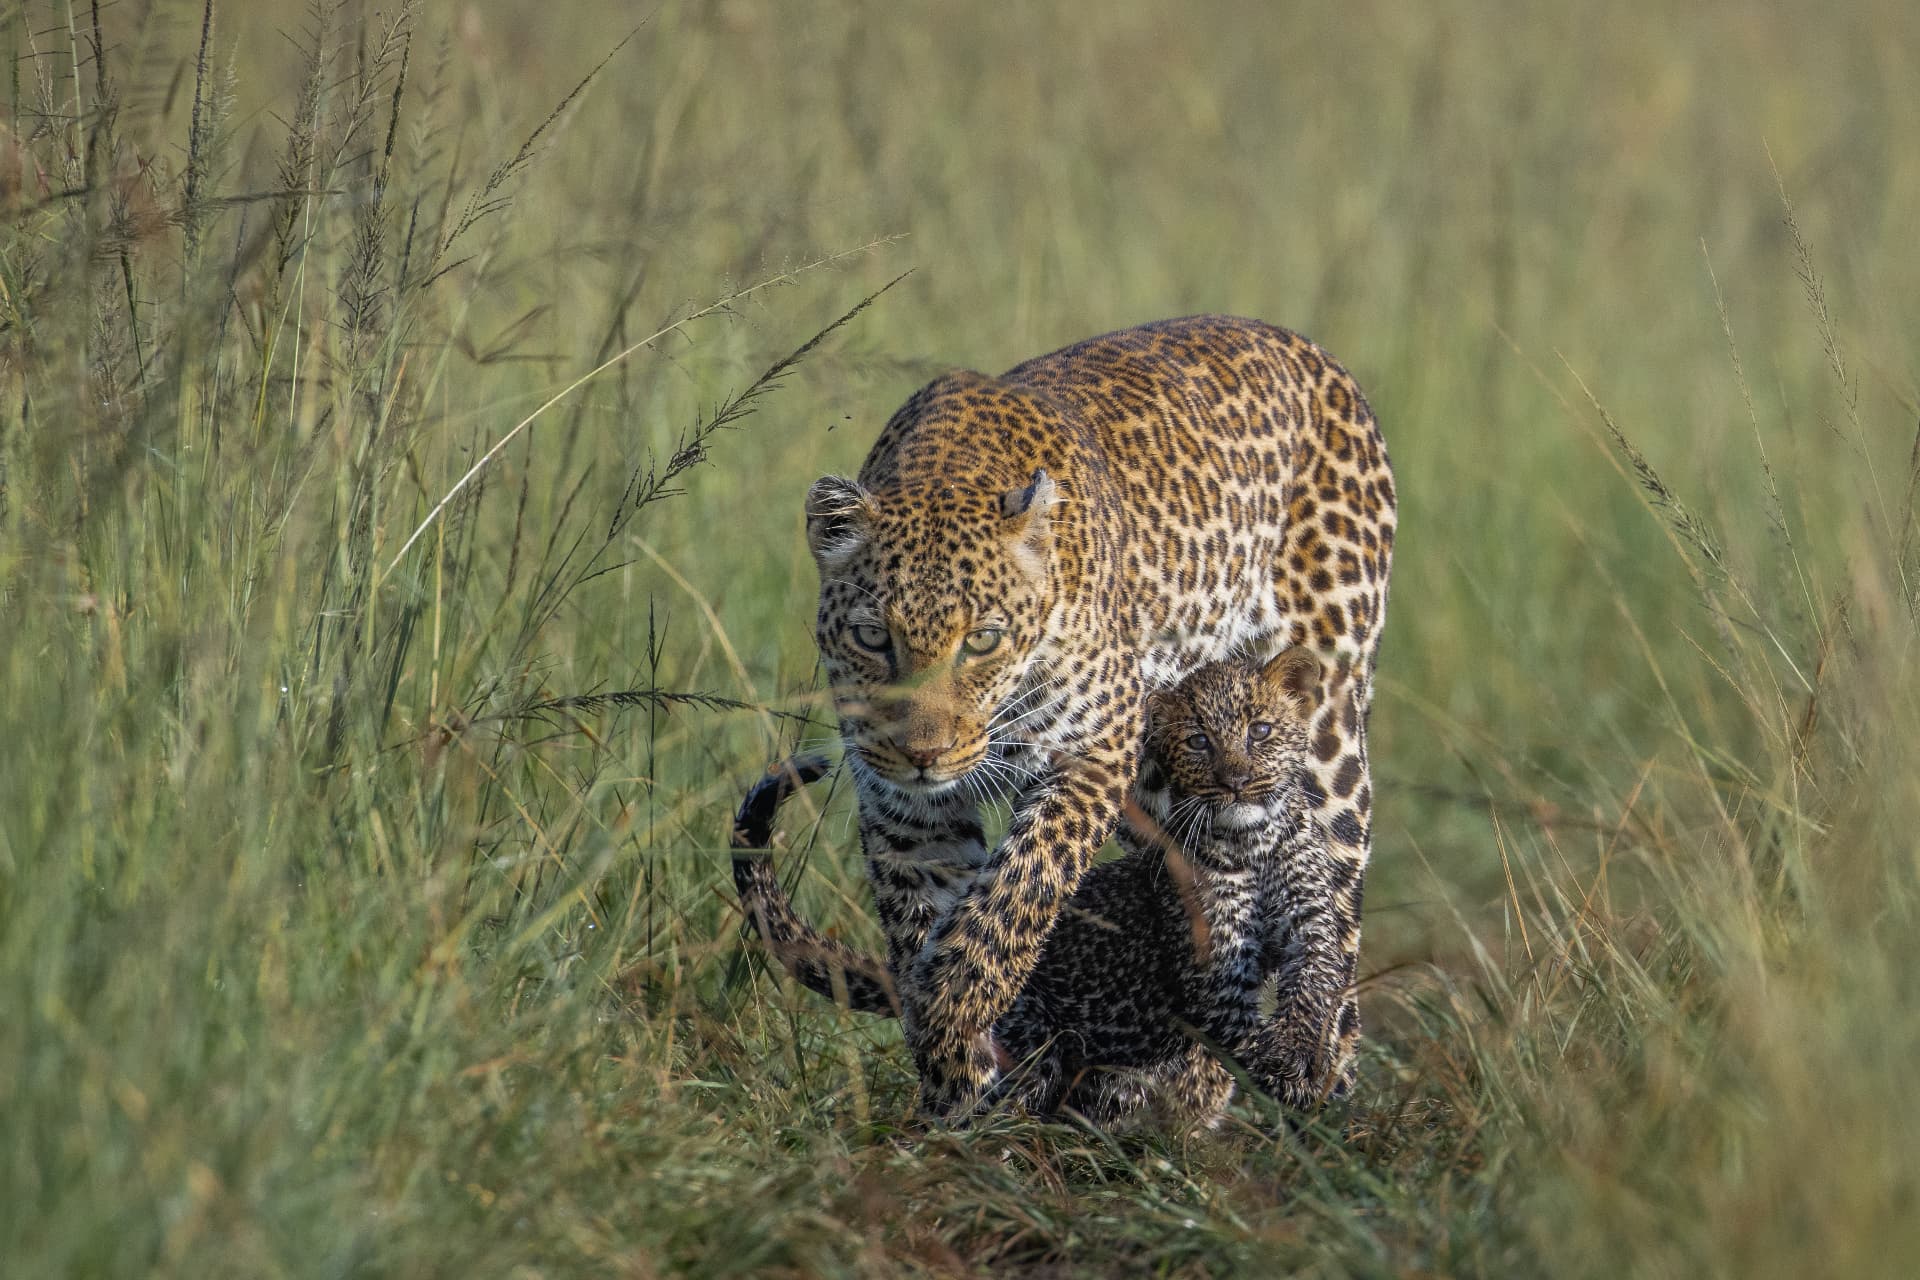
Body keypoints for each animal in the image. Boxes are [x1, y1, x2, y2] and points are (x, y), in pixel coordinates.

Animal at [733, 647, 1363, 1123]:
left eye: (1261, 730)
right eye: (1198, 742)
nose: (1236, 781)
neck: (1250, 842)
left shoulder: (1309, 916)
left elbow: (1316, 977)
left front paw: (1298, 1057)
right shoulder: (1211, 963)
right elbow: (1233, 1022)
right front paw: (1279, 1072)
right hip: (1032, 1049)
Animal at [799, 314, 1393, 1115]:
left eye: (982, 639)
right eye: (872, 638)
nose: (925, 754)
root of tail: (1309, 349)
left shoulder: (1093, 750)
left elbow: (1014, 898)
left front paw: (957, 1005)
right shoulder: (903, 804)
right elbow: (925, 913)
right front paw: (959, 1085)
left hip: (1325, 730)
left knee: (1334, 914)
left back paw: (1322, 1084)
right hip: (1172, 785)